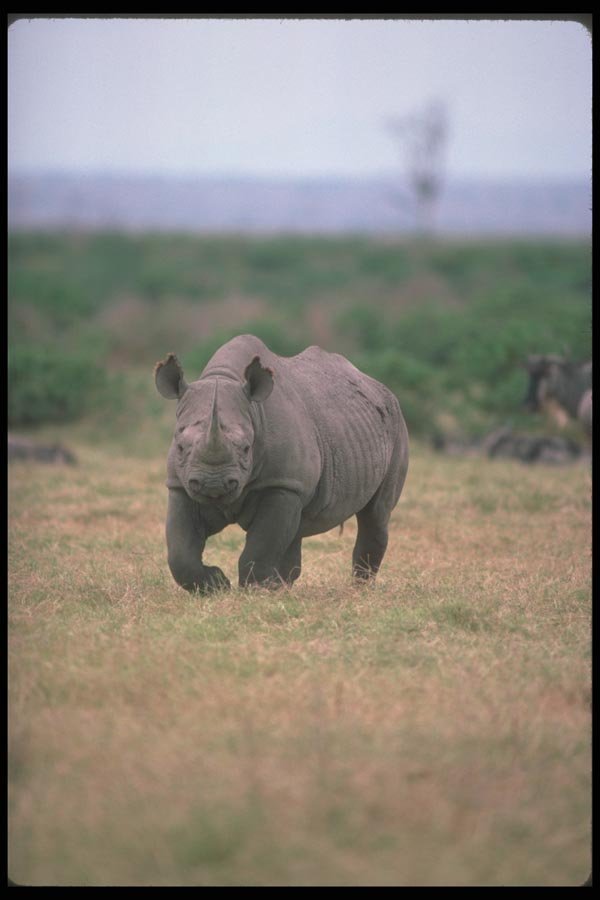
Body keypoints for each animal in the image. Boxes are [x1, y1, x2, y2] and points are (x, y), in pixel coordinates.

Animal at [155, 334, 409, 592]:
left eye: (246, 448)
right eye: (180, 447)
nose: (213, 485)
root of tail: (380, 387)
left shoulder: (282, 484)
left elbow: (262, 546)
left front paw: (255, 589)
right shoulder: (180, 486)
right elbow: (180, 552)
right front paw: (218, 585)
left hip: (396, 424)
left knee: (375, 513)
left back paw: (359, 588)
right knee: (297, 528)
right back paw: (282, 585)